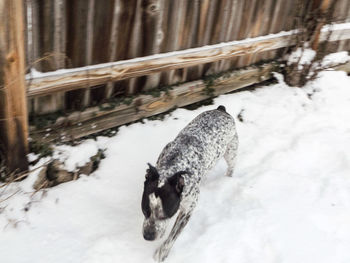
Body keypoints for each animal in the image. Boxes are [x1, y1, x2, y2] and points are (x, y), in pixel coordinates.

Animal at [142, 105, 238, 262]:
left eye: (165, 214)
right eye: (145, 210)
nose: (148, 236)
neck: (174, 165)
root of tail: (221, 110)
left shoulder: (187, 210)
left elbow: (173, 235)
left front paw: (162, 252)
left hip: (231, 151)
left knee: (231, 167)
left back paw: (228, 179)